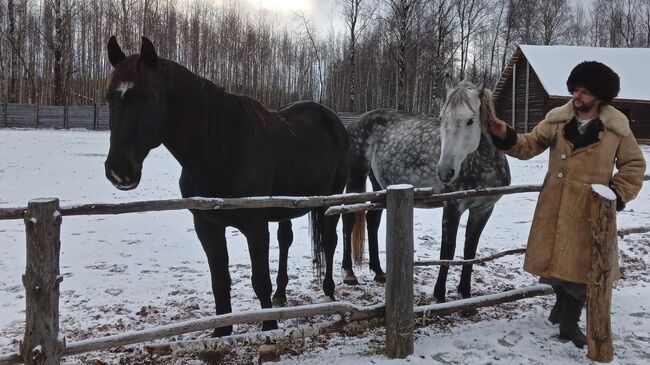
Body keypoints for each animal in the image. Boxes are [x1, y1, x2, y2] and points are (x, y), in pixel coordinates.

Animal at [105, 37, 350, 336]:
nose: (119, 170)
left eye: (149, 97)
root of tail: (332, 118)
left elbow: (260, 280)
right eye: (109, 97)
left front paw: (269, 327)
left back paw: (329, 291)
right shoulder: (208, 226)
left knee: (329, 241)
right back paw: (282, 294)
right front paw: (221, 332)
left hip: (331, 199)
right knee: (286, 240)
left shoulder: (255, 227)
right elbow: (220, 281)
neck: (222, 149)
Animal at [342, 80, 508, 304]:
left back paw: (378, 272)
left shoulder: (483, 209)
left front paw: (466, 294)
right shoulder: (453, 207)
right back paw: (349, 272)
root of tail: (355, 123)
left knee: (372, 220)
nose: (445, 171)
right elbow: (448, 251)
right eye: (441, 118)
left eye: (470, 120)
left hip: (380, 185)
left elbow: (470, 251)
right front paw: (440, 295)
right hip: (356, 178)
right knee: (349, 220)